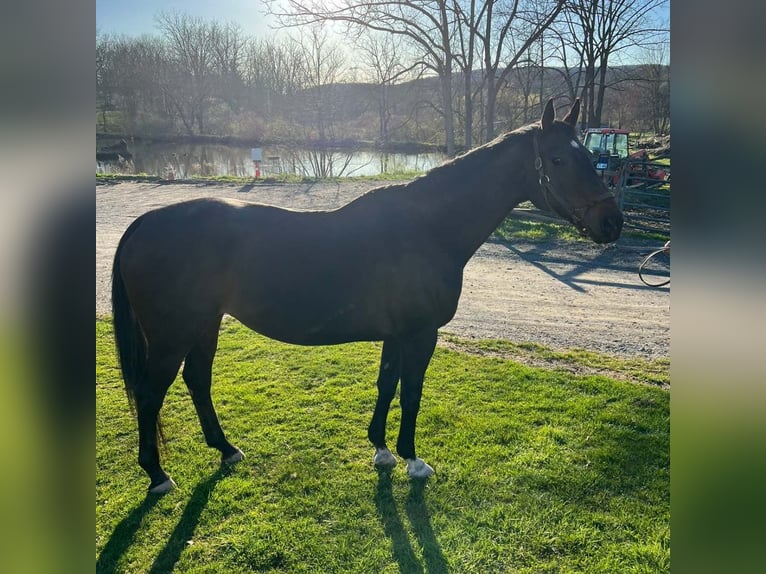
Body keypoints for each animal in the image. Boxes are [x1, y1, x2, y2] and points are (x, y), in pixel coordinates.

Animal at [109, 99, 624, 496]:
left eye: (588, 156)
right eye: (557, 160)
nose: (612, 223)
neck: (428, 228)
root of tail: (144, 223)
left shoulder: (396, 334)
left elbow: (386, 385)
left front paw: (381, 450)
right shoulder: (420, 334)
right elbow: (412, 393)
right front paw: (414, 460)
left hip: (206, 325)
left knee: (197, 381)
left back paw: (226, 450)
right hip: (172, 336)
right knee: (151, 394)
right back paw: (157, 476)